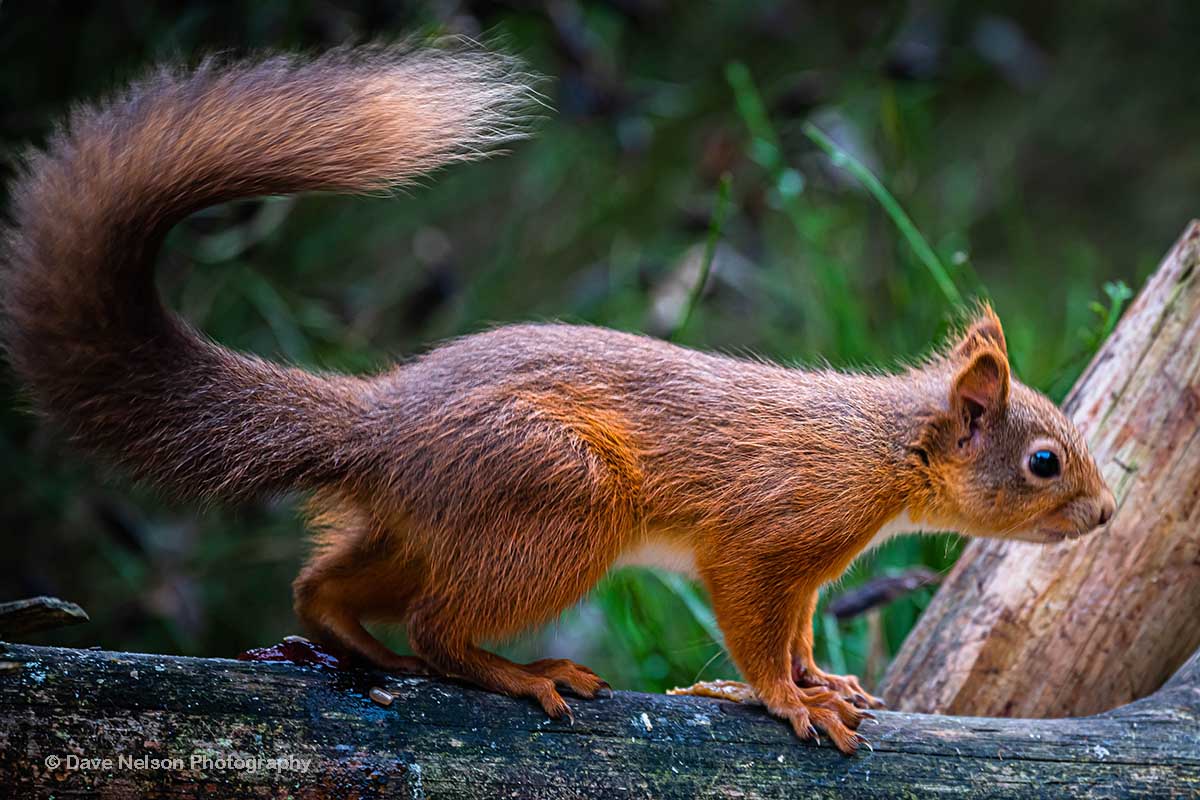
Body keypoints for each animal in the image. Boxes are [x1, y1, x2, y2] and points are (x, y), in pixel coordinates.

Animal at [1, 42, 1115, 754]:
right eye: (1044, 460)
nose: (1108, 515)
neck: (879, 449)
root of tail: (383, 425)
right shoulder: (766, 537)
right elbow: (758, 629)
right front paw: (789, 702)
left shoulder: (807, 571)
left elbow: (800, 631)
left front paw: (822, 681)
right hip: (558, 501)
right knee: (441, 627)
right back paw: (526, 674)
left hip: (428, 525)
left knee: (327, 589)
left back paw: (358, 645)